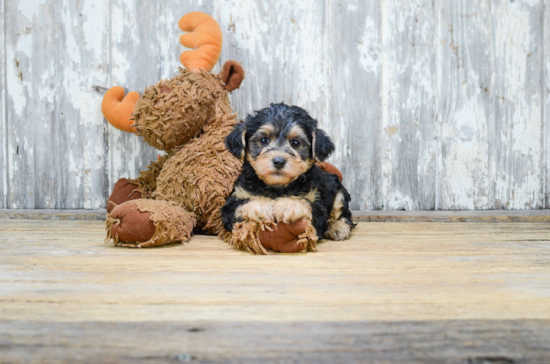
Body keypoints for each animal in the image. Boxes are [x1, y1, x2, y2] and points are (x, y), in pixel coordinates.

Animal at [222, 102, 356, 253]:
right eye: (264, 140)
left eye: (295, 143)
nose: (279, 161)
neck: (277, 186)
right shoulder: (232, 203)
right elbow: (242, 204)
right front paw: (264, 206)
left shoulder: (317, 202)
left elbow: (308, 205)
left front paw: (287, 205)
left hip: (339, 191)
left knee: (342, 213)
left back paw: (338, 228)